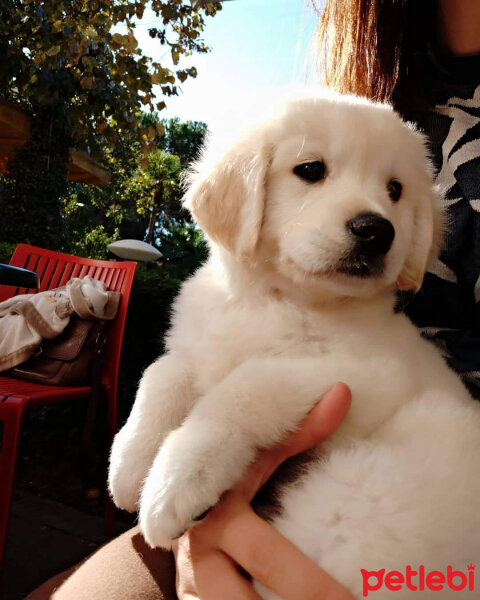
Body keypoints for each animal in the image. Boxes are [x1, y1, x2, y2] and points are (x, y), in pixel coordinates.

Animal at [108, 92, 480, 600]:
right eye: (310, 170)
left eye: (395, 190)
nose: (377, 230)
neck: (280, 299)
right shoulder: (199, 345)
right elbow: (162, 373)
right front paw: (129, 465)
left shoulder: (365, 376)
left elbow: (247, 385)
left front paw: (176, 480)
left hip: (356, 504)